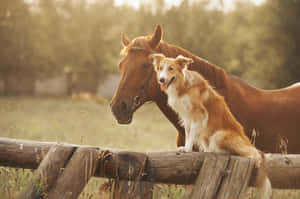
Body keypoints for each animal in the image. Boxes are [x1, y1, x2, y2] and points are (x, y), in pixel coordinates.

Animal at [151, 53, 270, 198]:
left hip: (219, 135)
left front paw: (187, 149)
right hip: (205, 137)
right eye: (160, 68)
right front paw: (185, 147)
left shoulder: (198, 114)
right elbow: (188, 133)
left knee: (251, 154)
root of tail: (247, 142)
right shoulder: (187, 117)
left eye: (171, 69)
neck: (183, 85)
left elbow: (191, 134)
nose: (161, 80)